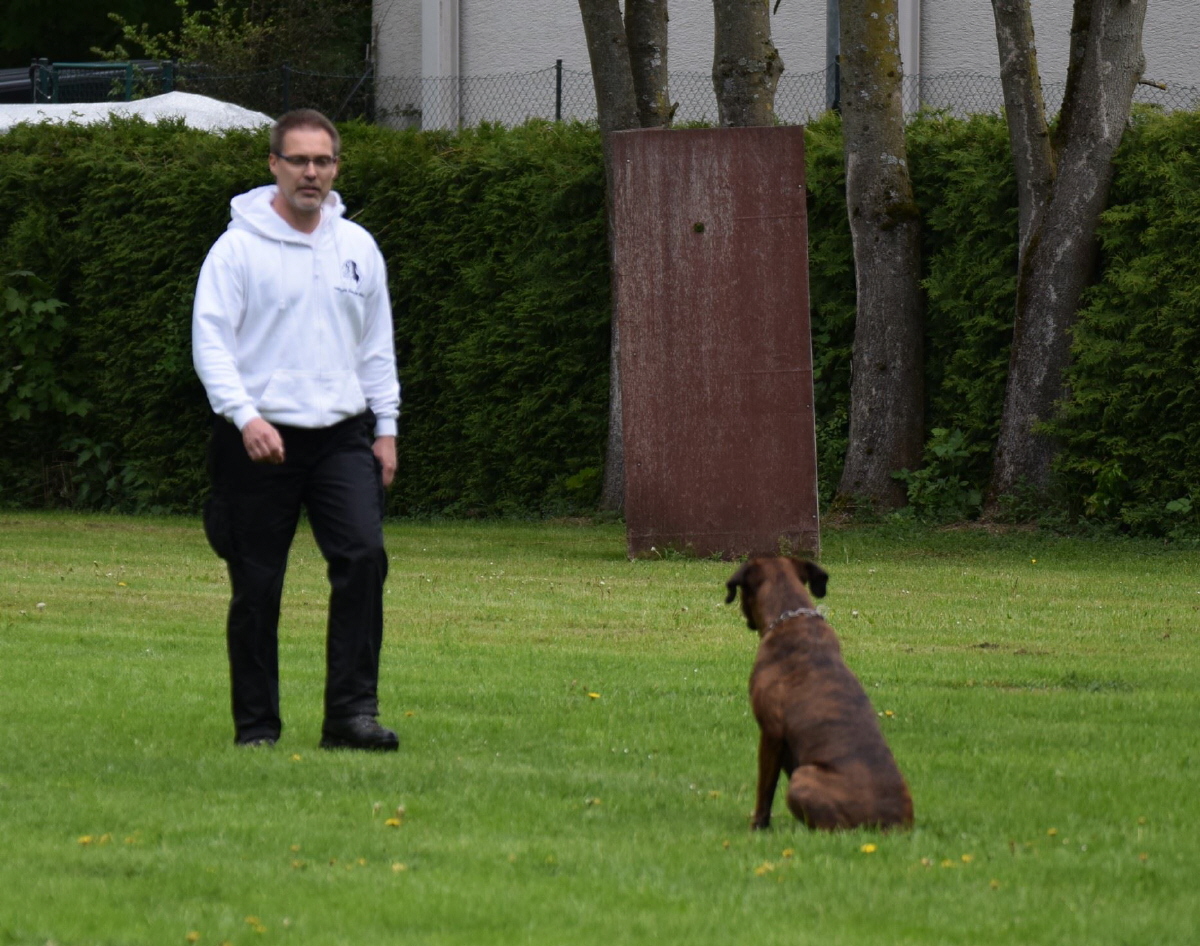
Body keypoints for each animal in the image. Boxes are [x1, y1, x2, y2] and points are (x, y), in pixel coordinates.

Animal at [725, 557, 913, 831]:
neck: (790, 616)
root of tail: (889, 825)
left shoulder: (771, 734)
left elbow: (765, 791)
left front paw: (758, 826)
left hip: (803, 777)